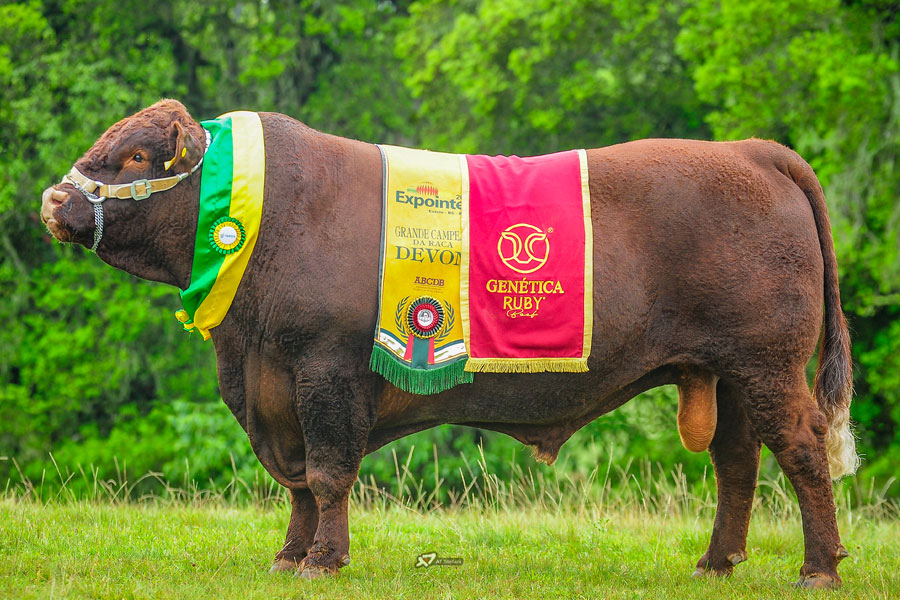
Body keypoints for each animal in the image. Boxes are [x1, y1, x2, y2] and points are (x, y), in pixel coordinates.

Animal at [40, 101, 856, 588]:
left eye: (137, 157)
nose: (53, 200)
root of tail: (754, 152)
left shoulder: (325, 370)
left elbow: (327, 474)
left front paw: (323, 562)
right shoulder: (274, 382)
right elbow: (298, 479)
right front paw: (289, 556)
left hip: (768, 364)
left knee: (802, 448)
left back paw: (818, 569)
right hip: (725, 371)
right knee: (737, 462)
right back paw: (716, 563)